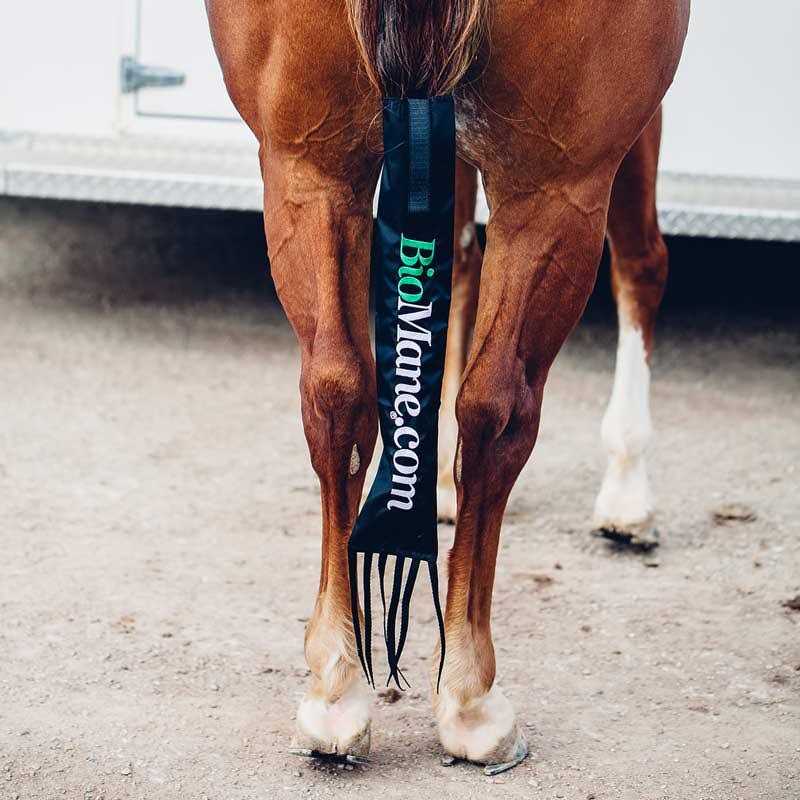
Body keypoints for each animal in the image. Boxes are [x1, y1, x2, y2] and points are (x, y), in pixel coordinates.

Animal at [205, 0, 690, 772]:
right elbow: (638, 261)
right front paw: (628, 489)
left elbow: (453, 256)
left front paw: (433, 487)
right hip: (556, 184)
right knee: (503, 404)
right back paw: (470, 697)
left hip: (308, 166)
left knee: (336, 387)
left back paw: (336, 689)